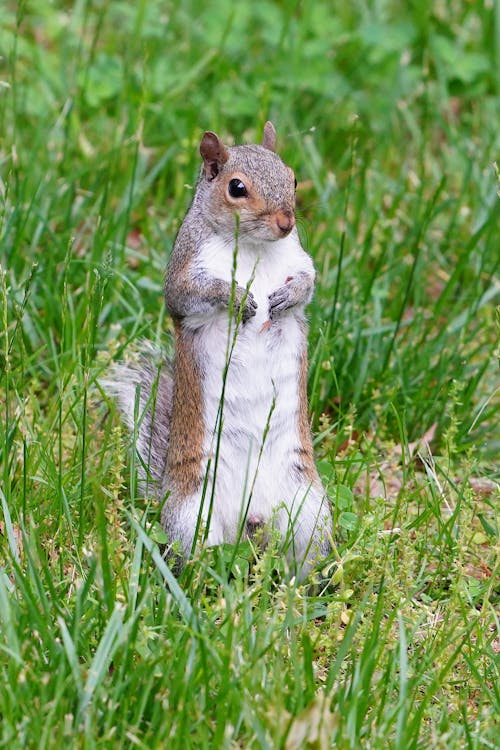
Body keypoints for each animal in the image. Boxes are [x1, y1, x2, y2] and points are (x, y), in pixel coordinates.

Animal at [109, 122, 334, 580]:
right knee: (194, 559)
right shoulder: (185, 271)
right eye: (236, 187)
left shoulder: (299, 260)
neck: (254, 248)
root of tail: (252, 522)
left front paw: (287, 296)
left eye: (292, 178)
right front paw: (237, 297)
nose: (286, 223)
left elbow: (307, 284)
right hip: (193, 514)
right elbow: (187, 294)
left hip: (310, 511)